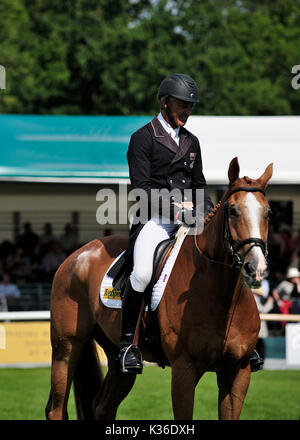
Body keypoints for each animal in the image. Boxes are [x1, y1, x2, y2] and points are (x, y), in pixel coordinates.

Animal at [45, 158, 274, 420]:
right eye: (234, 211)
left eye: (268, 213)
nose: (255, 267)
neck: (221, 296)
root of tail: (77, 255)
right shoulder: (184, 370)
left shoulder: (237, 372)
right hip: (66, 347)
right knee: (56, 408)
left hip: (118, 361)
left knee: (102, 406)